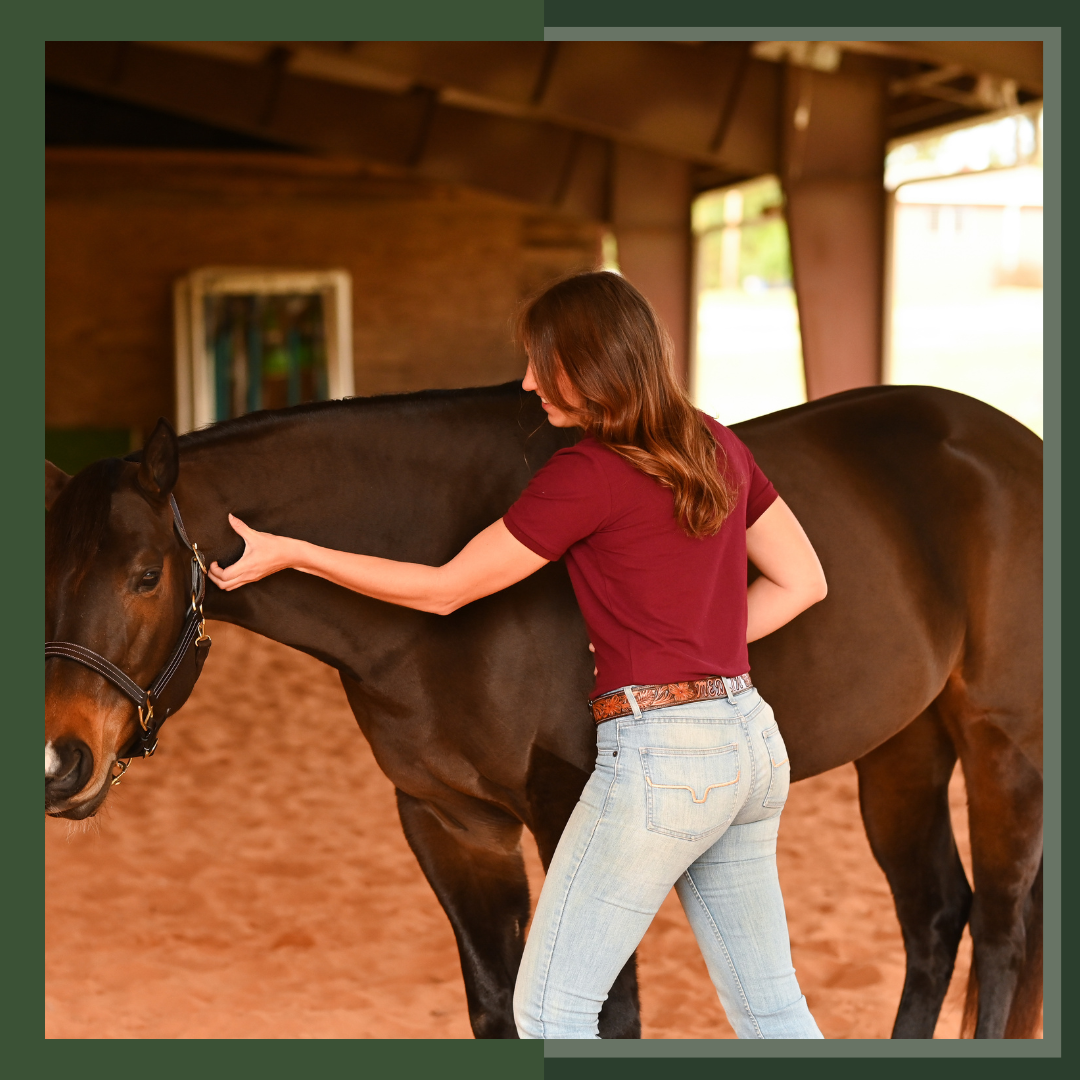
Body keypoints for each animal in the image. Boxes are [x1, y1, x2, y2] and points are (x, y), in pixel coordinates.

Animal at [46, 382, 1041, 1036]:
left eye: (145, 576)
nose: (60, 762)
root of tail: (1012, 445)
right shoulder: (450, 822)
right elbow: (496, 1001)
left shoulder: (573, 812)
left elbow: (605, 1007)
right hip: (903, 750)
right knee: (934, 917)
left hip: (1002, 746)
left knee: (1000, 930)